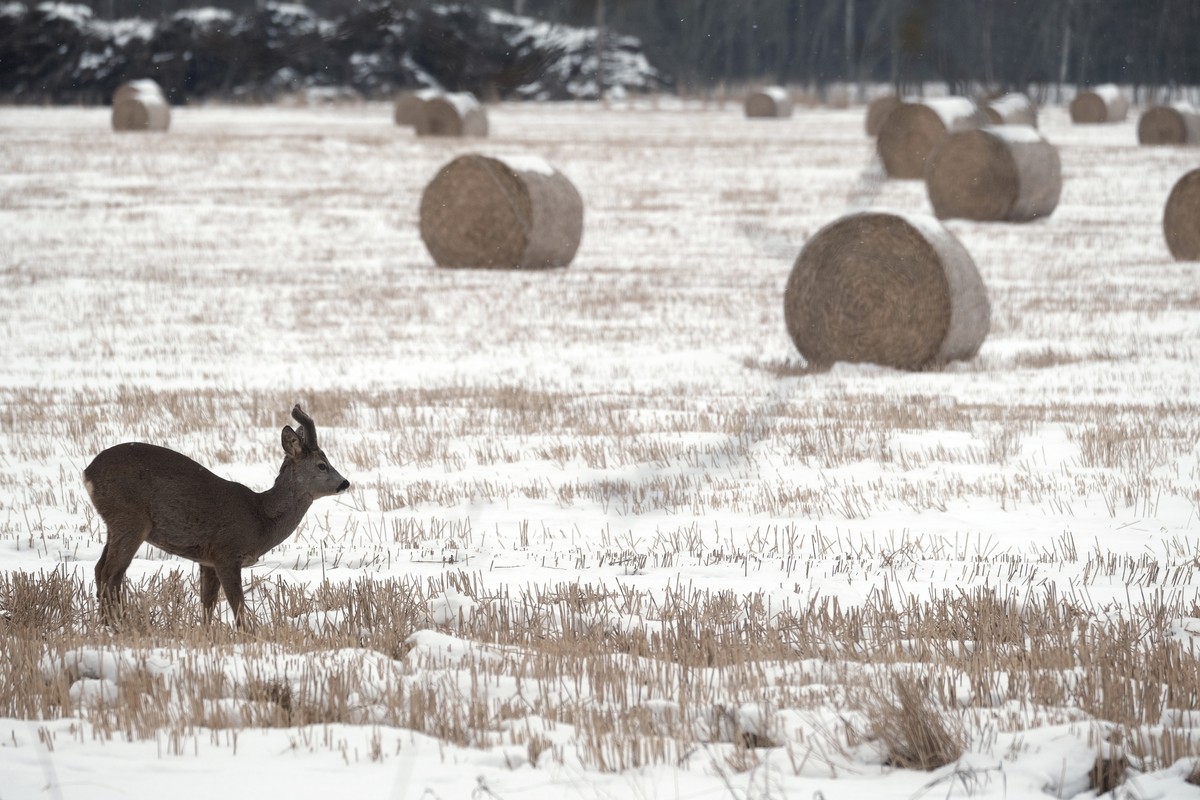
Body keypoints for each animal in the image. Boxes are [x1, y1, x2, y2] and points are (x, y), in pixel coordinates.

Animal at [83, 404, 350, 628]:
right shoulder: (226, 552)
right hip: (130, 518)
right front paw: (249, 637)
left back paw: (110, 624)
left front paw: (207, 635)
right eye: (322, 465)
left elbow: (208, 604)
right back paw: (118, 626)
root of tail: (88, 472)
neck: (261, 518)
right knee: (111, 573)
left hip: (114, 522)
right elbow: (238, 606)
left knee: (100, 569)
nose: (345, 483)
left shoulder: (207, 559)